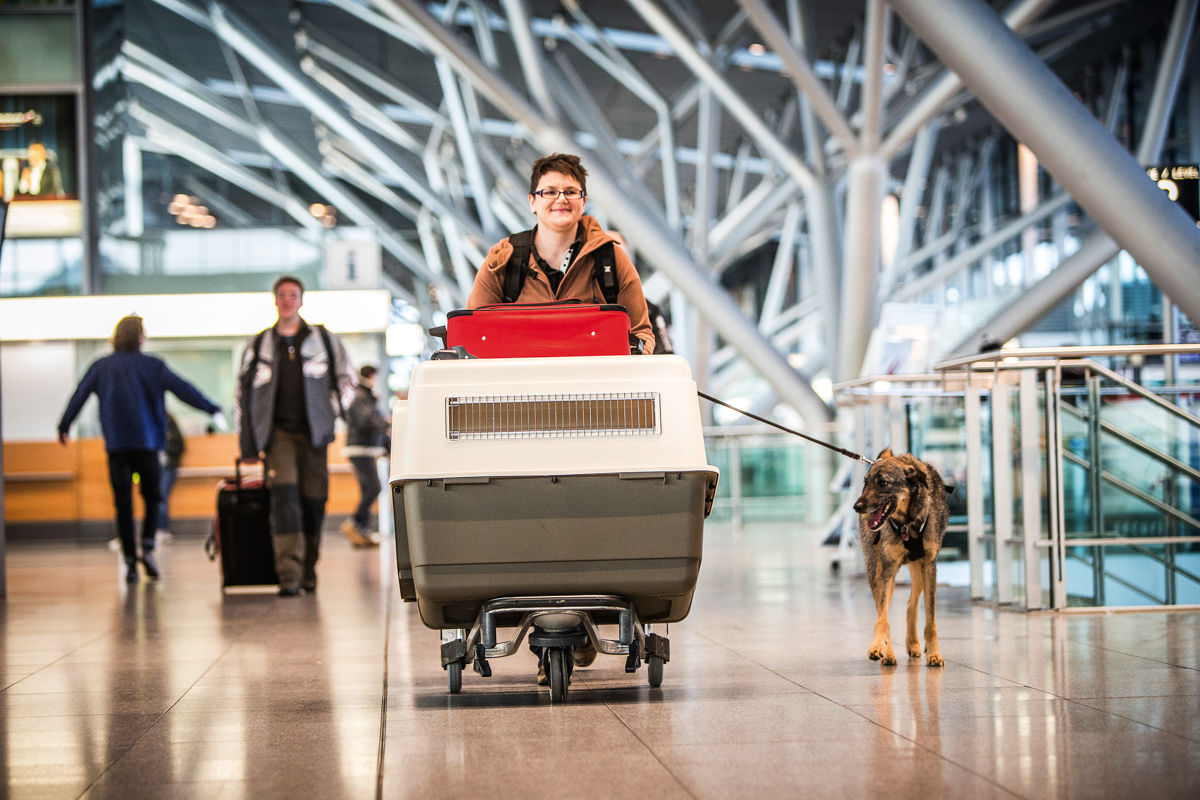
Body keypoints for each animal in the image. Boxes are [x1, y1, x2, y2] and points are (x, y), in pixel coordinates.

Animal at [849, 450, 950, 671]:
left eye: (883, 483)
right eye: (865, 482)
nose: (857, 506)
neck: (907, 523)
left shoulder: (929, 566)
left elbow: (931, 620)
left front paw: (935, 654)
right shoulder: (887, 570)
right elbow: (882, 618)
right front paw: (878, 646)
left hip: (918, 570)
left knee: (911, 604)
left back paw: (913, 643)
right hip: (875, 570)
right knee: (884, 609)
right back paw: (888, 653)